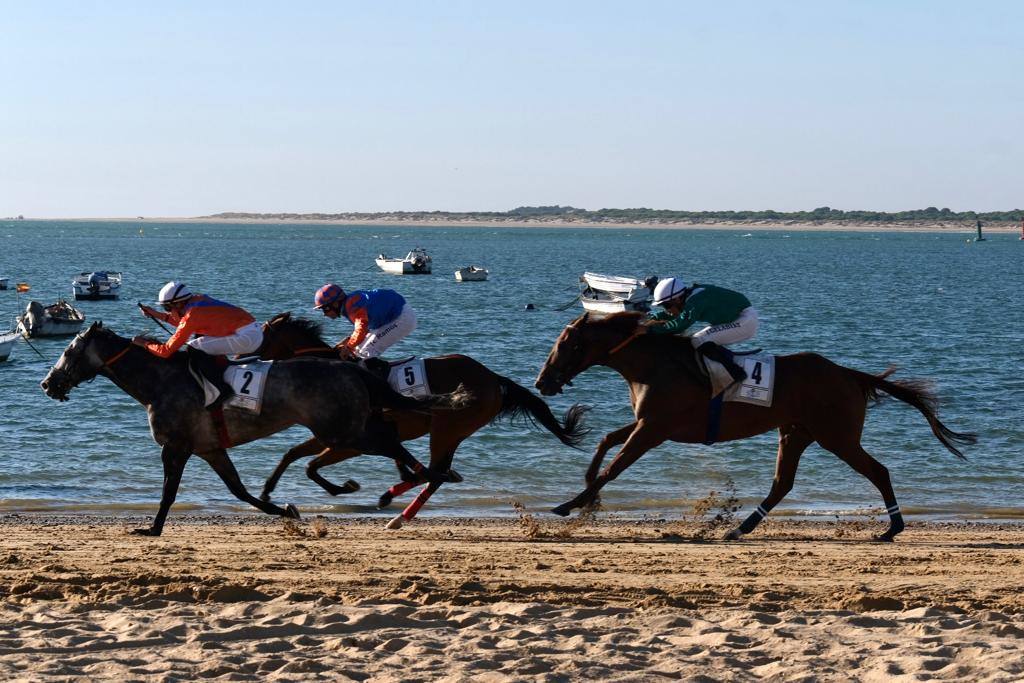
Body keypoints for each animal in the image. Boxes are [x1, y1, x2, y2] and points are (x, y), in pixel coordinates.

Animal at [40, 323, 468, 536]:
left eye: (69, 351)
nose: (48, 383)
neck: (159, 382)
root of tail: (351, 368)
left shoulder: (176, 446)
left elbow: (169, 491)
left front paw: (152, 528)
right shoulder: (210, 448)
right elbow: (239, 491)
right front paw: (285, 510)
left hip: (342, 431)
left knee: (392, 447)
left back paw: (421, 480)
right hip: (350, 426)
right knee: (391, 442)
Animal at [258, 313, 593, 528]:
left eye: (261, 337)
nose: (253, 360)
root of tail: (493, 378)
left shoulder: (351, 443)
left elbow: (310, 466)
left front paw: (347, 488)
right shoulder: (331, 437)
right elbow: (293, 456)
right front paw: (267, 493)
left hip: (446, 428)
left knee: (436, 472)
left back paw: (393, 504)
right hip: (452, 433)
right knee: (437, 473)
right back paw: (400, 507)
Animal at [536, 313, 974, 540]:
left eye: (569, 344)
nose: (543, 382)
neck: (655, 365)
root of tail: (848, 373)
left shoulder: (654, 429)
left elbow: (614, 467)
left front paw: (570, 504)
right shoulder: (649, 423)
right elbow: (606, 442)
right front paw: (587, 499)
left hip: (837, 436)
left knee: (878, 471)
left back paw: (893, 527)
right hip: (796, 433)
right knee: (783, 483)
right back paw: (740, 527)